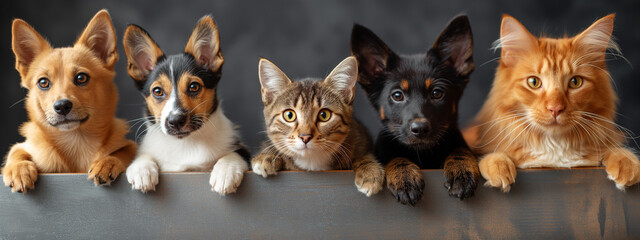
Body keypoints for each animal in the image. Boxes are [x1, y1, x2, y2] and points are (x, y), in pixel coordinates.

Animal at [2, 9, 138, 193]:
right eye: (43, 82)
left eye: (81, 78)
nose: (62, 106)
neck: (75, 141)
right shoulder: (26, 147)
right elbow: (16, 151)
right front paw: (19, 169)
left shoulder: (130, 145)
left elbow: (124, 151)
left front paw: (107, 163)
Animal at [251, 56, 384, 197]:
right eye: (289, 115)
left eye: (324, 115)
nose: (305, 137)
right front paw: (266, 156)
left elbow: (364, 154)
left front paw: (370, 170)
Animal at [350, 15, 480, 205]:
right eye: (397, 95)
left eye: (437, 93)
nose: (420, 129)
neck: (422, 154)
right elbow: (395, 157)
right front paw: (404, 176)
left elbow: (460, 150)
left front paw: (462, 170)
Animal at [462, 14, 640, 191]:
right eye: (534, 82)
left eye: (575, 82)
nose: (555, 109)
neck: (554, 146)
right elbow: (490, 155)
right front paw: (498, 165)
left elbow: (614, 149)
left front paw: (627, 163)